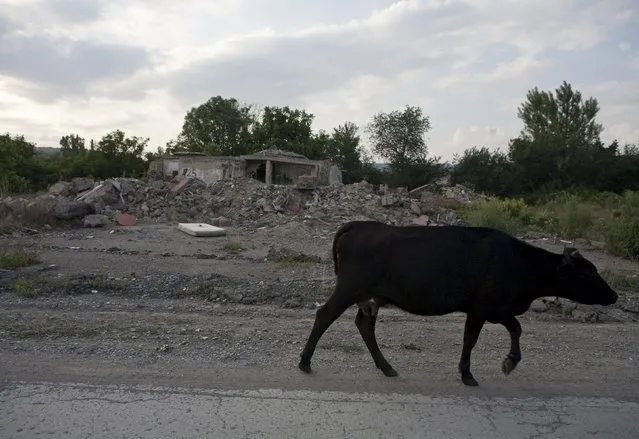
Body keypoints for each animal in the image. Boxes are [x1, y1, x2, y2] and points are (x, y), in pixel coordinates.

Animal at [298, 222, 620, 386]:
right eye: (590, 272)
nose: (614, 295)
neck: (518, 264)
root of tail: (359, 224)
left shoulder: (494, 309)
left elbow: (512, 329)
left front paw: (505, 363)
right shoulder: (484, 307)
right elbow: (475, 338)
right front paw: (472, 373)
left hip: (369, 297)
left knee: (364, 324)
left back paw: (387, 367)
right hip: (349, 288)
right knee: (324, 315)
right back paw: (304, 362)